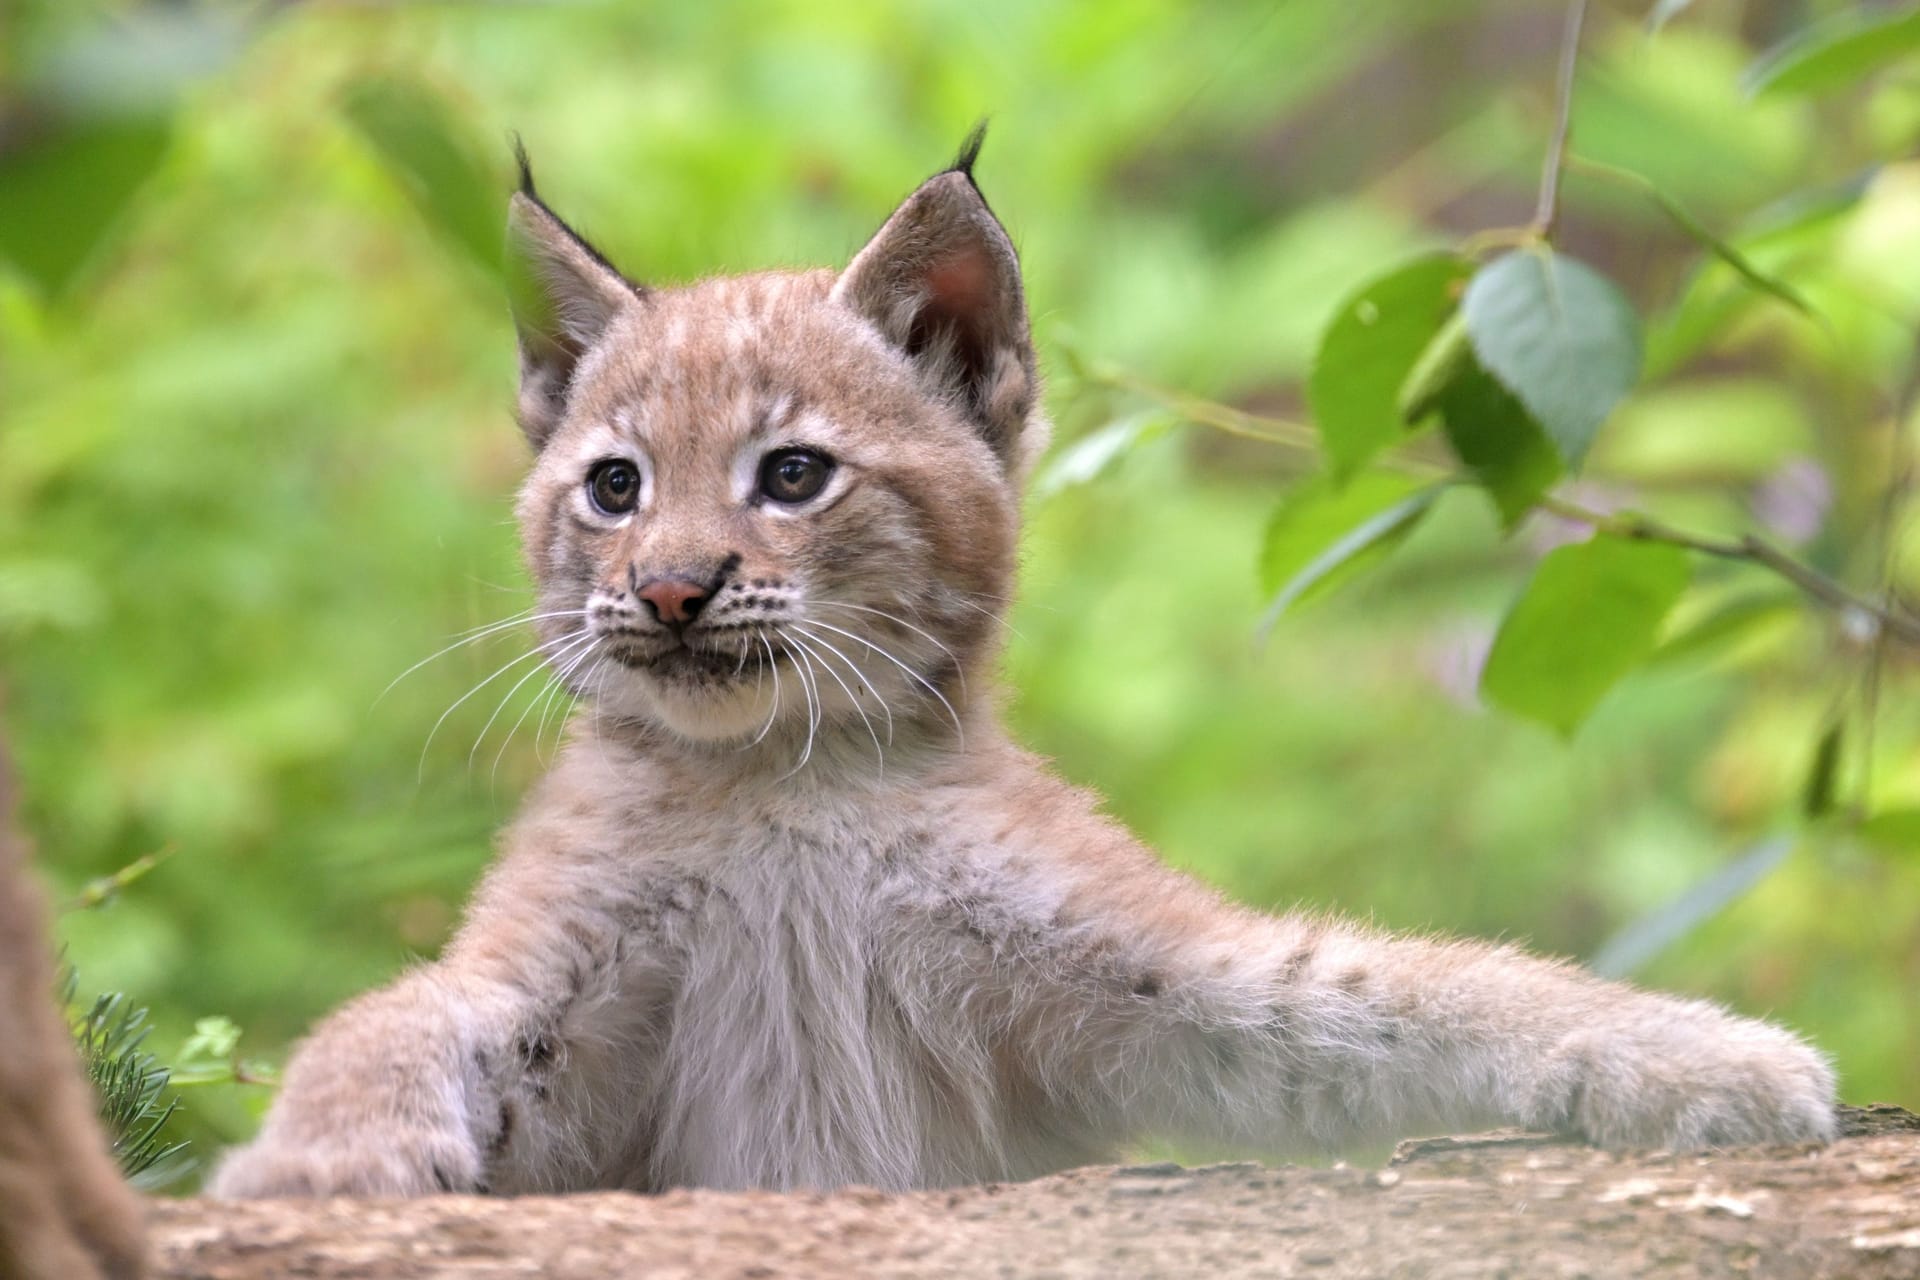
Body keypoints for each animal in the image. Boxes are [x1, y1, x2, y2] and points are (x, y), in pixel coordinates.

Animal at [206, 132, 1827, 1205]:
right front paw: (316, 1167)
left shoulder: (1153, 983)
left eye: (792, 475)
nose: (668, 590)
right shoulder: (540, 981)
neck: (781, 782)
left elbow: (1410, 984)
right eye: (613, 489)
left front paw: (1703, 1058)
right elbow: (382, 1017)